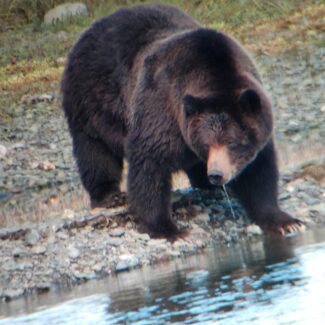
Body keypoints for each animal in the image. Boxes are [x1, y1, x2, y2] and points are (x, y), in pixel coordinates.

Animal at [61, 2, 302, 235]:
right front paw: (167, 228)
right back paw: (109, 195)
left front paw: (285, 221)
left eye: (232, 142)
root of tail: (89, 30)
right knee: (95, 153)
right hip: (91, 102)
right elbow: (149, 163)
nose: (217, 174)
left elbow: (259, 171)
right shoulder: (161, 105)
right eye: (208, 143)